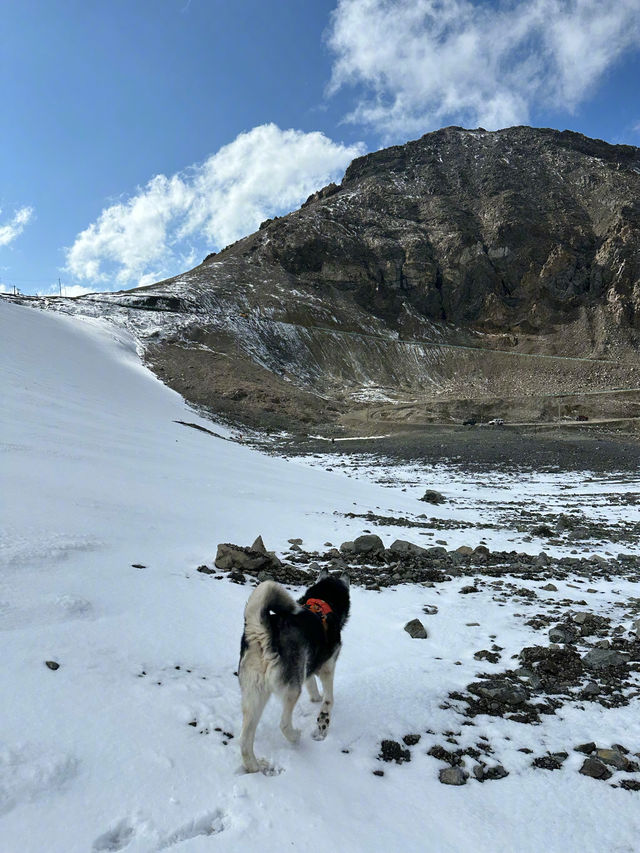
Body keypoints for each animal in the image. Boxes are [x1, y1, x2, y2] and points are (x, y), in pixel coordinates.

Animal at [239, 564, 350, 772]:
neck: (323, 600)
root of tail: (263, 634)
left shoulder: (307, 665)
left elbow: (312, 684)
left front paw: (315, 698)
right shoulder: (328, 666)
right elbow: (329, 700)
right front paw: (323, 719)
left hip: (254, 695)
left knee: (244, 740)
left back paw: (255, 767)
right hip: (291, 689)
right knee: (283, 724)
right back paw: (295, 737)